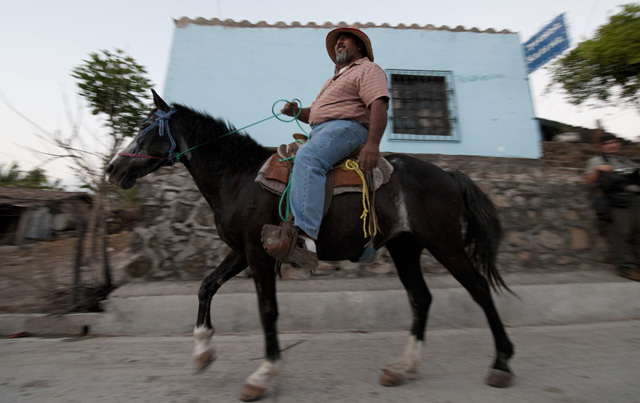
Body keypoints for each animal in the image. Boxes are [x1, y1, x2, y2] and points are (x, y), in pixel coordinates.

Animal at [106, 90, 516, 402]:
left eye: (145, 127)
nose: (112, 169)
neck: (238, 177)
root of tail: (446, 174)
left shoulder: (258, 255)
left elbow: (267, 310)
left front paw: (263, 374)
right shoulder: (241, 252)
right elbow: (206, 286)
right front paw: (203, 350)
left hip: (445, 244)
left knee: (479, 289)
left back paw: (501, 363)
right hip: (405, 248)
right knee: (421, 298)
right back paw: (404, 366)